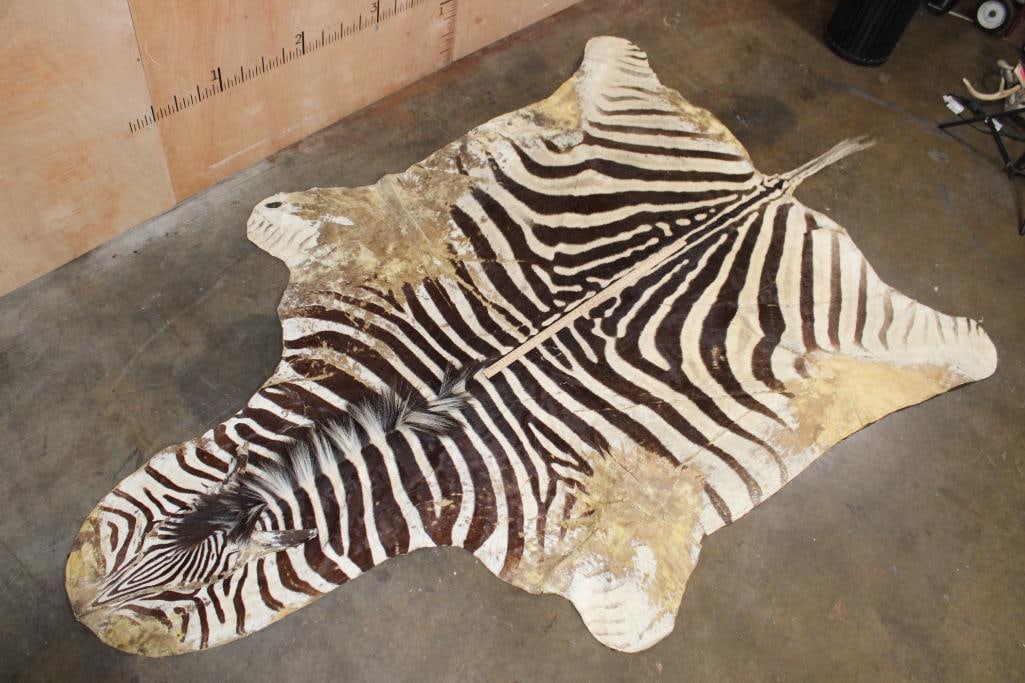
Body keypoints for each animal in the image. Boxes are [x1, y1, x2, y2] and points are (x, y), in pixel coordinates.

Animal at [66, 36, 997, 656]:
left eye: (179, 603)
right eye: (133, 542)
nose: (80, 607)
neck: (404, 425)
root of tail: (765, 182)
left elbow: (629, 617)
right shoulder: (349, 260)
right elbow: (285, 219)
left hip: (861, 325)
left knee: (951, 347)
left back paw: (969, 344)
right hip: (631, 125)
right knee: (613, 66)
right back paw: (612, 64)